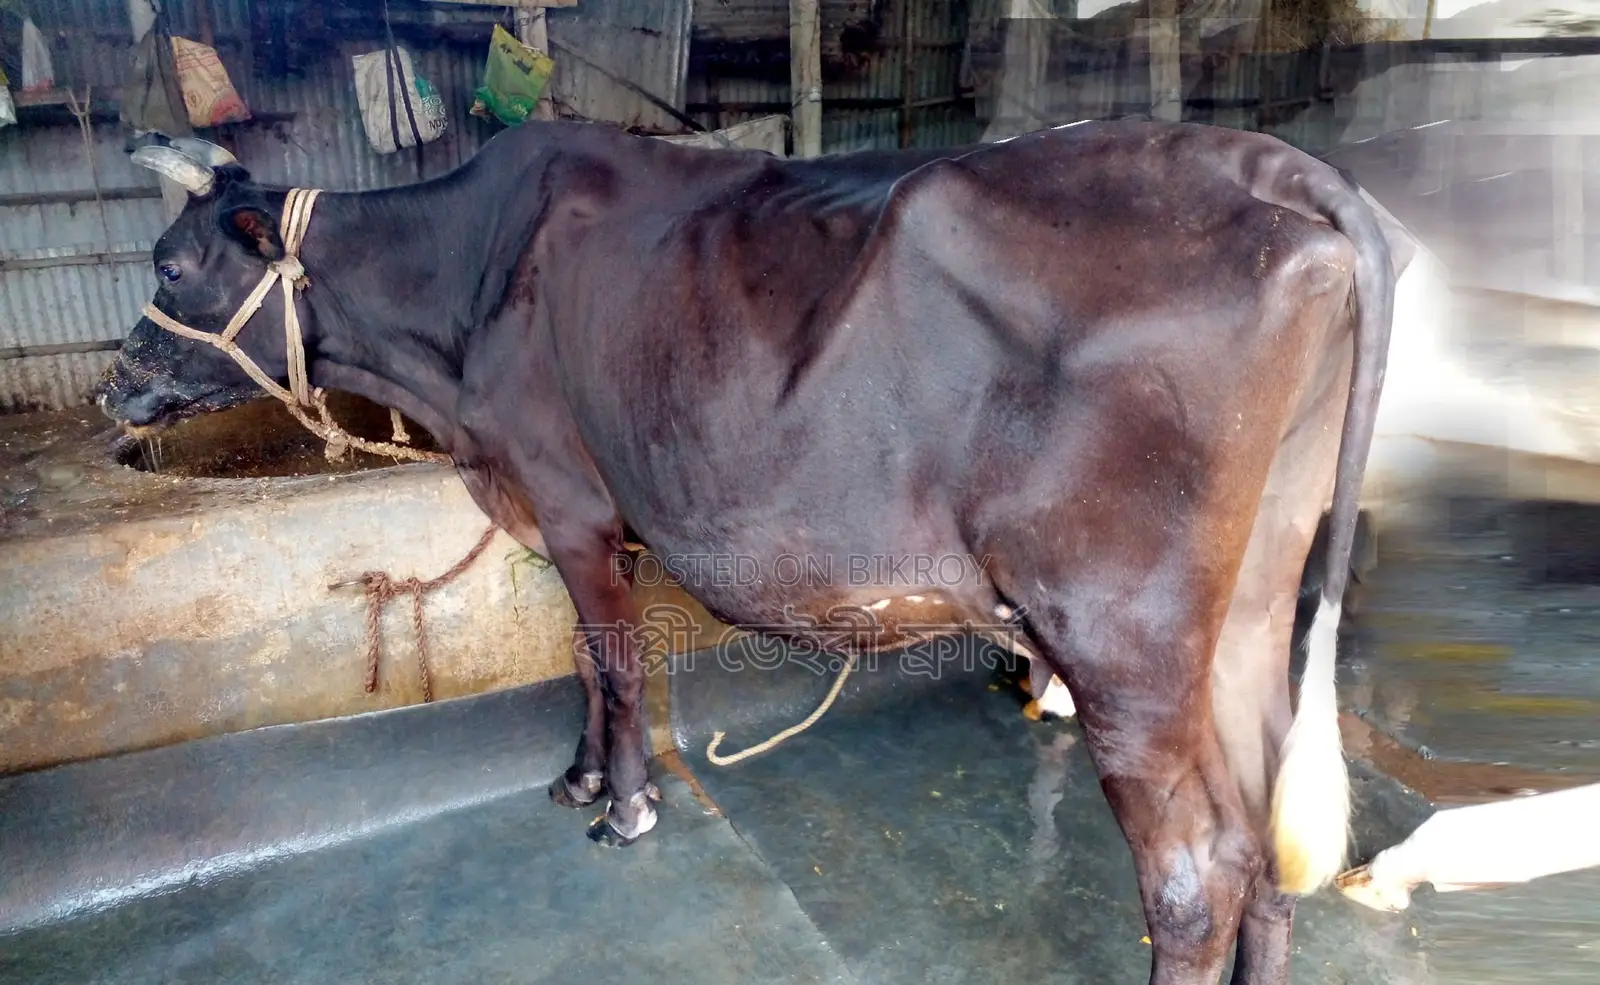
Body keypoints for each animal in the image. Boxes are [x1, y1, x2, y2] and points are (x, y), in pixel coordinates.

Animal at [97, 119, 1402, 985]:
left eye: (170, 264)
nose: (112, 386)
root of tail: (1276, 164)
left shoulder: (568, 499)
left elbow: (617, 663)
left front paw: (624, 806)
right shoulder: (571, 509)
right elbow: (584, 659)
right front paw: (579, 775)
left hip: (1121, 628)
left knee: (1189, 874)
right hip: (1245, 607)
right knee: (1259, 833)